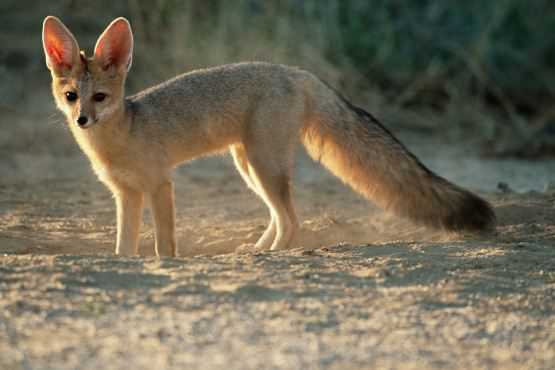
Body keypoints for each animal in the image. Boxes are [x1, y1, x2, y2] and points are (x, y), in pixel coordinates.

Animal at [42, 15, 496, 256]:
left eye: (100, 97)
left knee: (293, 220)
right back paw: (259, 250)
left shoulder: (159, 185)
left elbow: (164, 242)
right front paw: (125, 260)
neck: (122, 135)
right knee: (281, 218)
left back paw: (274, 254)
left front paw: (164, 262)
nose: (82, 120)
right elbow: (125, 244)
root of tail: (294, 71)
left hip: (263, 166)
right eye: (71, 96)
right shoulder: (126, 194)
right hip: (249, 165)